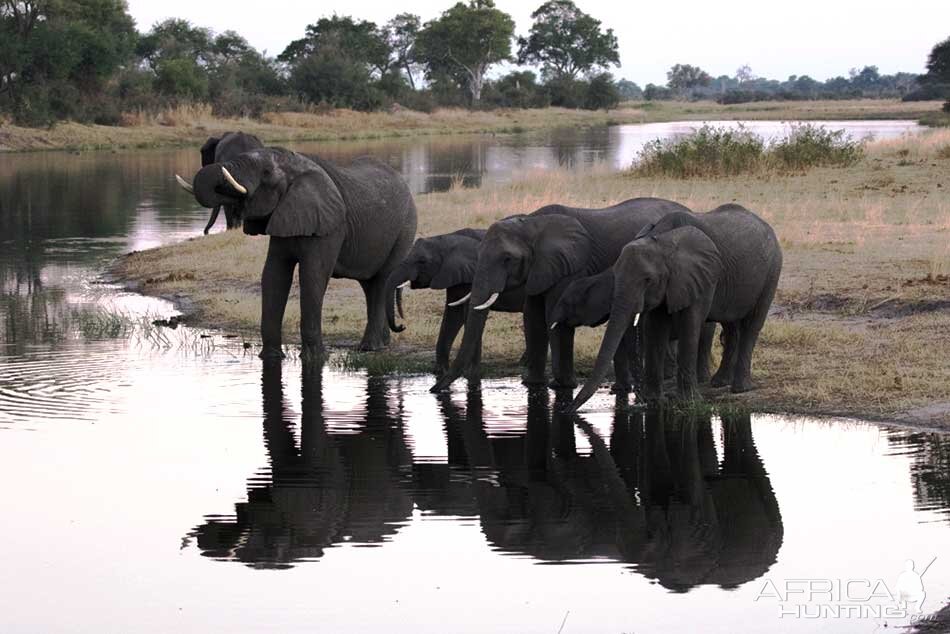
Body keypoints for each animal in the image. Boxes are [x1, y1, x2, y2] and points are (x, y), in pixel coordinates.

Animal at [178, 145, 416, 358]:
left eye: (266, 172)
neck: (294, 163)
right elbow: (274, 276)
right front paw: (271, 357)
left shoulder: (329, 227)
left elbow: (312, 276)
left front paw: (315, 358)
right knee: (371, 285)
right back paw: (383, 343)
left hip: (405, 228)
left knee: (382, 280)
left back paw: (370, 348)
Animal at [384, 227, 524, 376]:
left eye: (422, 261)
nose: (402, 325)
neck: (446, 239)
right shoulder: (454, 275)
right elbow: (452, 315)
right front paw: (440, 372)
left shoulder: (472, 275)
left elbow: (466, 315)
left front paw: (469, 372)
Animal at [432, 198, 692, 390]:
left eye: (507, 259)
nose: (435, 390)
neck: (531, 224)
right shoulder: (539, 269)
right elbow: (533, 317)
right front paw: (532, 383)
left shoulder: (569, 266)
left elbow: (552, 316)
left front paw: (563, 385)